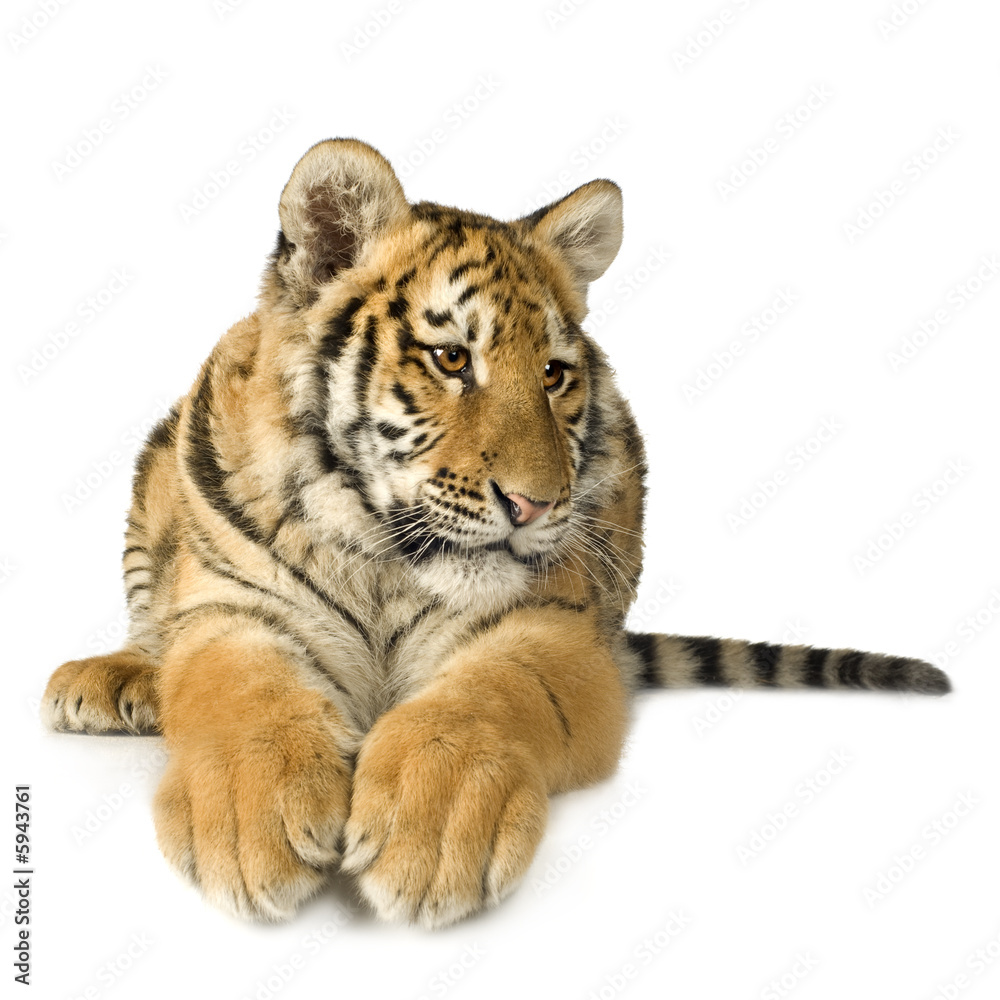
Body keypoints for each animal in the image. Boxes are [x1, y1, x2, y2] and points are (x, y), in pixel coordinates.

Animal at [41, 138, 951, 929]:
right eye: (451, 359)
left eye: (553, 375)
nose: (538, 505)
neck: (387, 559)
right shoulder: (233, 613)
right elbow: (241, 698)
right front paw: (250, 821)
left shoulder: (554, 629)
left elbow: (486, 698)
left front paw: (431, 830)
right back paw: (109, 680)